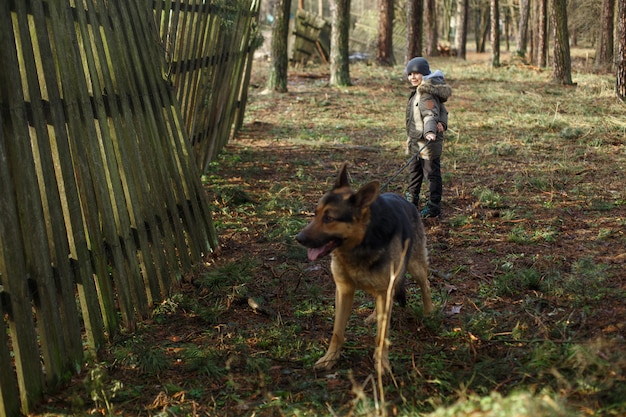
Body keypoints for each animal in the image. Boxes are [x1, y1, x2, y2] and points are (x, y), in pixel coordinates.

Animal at [294, 163, 432, 370]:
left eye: (329, 218)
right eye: (316, 214)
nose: (299, 238)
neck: (361, 241)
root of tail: (406, 200)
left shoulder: (383, 289)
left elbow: (381, 336)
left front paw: (381, 363)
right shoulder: (344, 291)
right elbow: (337, 332)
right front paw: (330, 358)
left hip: (415, 267)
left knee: (425, 285)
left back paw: (429, 312)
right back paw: (375, 315)